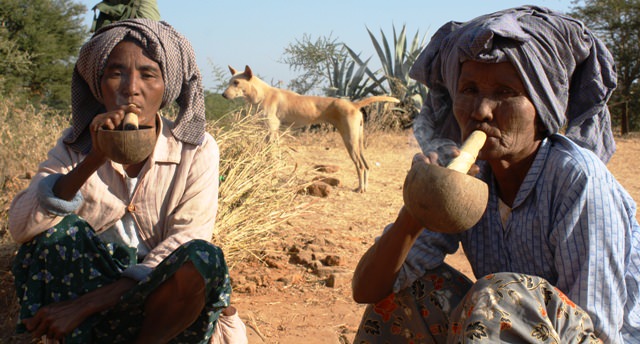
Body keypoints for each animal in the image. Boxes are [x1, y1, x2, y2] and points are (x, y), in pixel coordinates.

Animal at [222, 65, 398, 194]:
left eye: (236, 83)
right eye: (229, 81)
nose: (223, 95)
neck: (262, 94)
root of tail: (353, 104)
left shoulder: (271, 131)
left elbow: (272, 155)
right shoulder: (273, 133)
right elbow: (273, 155)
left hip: (350, 141)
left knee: (360, 166)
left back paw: (360, 188)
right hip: (357, 142)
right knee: (366, 166)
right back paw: (364, 188)